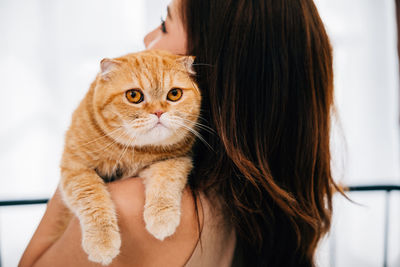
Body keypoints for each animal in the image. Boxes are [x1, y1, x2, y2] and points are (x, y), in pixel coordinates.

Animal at [59, 50, 200, 266]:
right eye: (134, 96)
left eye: (174, 94)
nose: (159, 112)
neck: (132, 151)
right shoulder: (75, 168)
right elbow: (92, 198)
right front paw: (102, 241)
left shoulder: (175, 159)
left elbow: (165, 179)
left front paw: (161, 217)